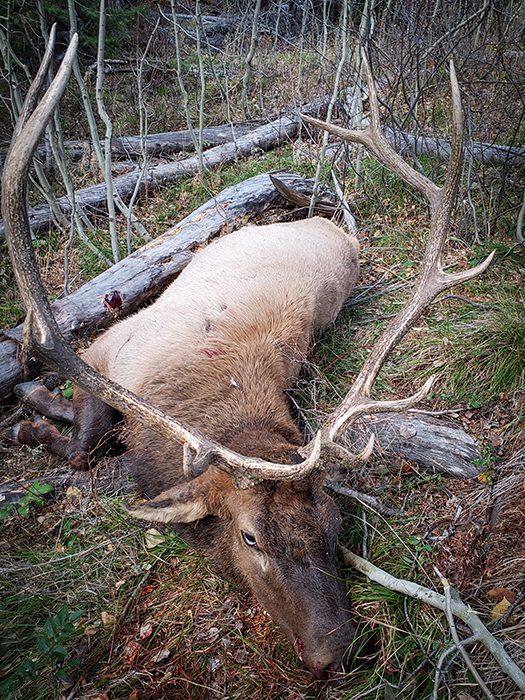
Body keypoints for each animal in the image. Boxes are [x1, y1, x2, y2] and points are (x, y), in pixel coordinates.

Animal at [1, 28, 493, 681]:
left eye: (334, 521)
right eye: (251, 537)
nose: (336, 651)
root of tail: (337, 228)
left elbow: (85, 441)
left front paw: (33, 411)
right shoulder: (108, 347)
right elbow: (84, 443)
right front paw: (31, 409)